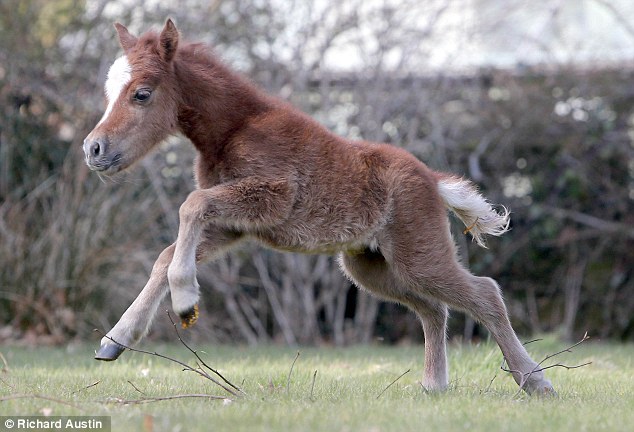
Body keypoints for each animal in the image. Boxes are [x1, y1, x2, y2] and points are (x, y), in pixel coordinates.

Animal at [85, 19, 552, 394]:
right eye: (110, 91)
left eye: (141, 94)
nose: (93, 148)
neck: (234, 128)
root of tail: (432, 180)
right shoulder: (235, 225)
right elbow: (167, 254)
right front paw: (116, 339)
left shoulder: (271, 196)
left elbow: (190, 205)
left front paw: (185, 300)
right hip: (371, 267)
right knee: (433, 310)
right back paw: (434, 386)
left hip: (420, 256)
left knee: (485, 294)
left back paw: (535, 381)